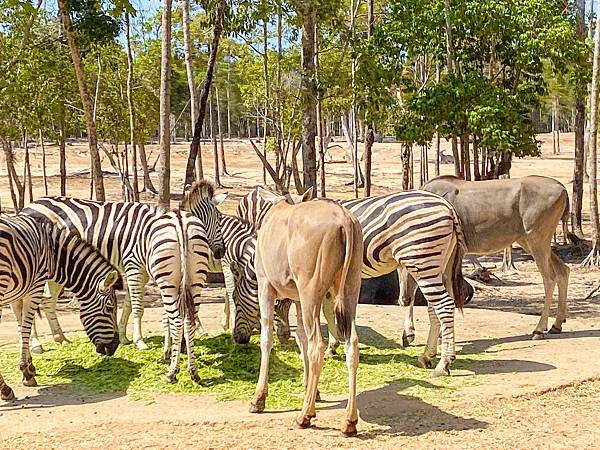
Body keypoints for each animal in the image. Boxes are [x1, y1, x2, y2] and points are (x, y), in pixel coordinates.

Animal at [0, 215, 120, 400]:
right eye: (109, 308)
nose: (115, 346)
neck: (53, 253)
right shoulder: (35, 287)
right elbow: (26, 328)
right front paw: (26, 372)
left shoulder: (19, 293)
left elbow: (21, 329)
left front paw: (30, 367)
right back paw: (5, 389)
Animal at [247, 188, 364, 438]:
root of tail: (344, 220)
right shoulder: (298, 300)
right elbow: (300, 337)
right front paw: (314, 391)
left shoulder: (266, 286)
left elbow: (267, 339)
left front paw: (259, 398)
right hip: (349, 291)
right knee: (351, 345)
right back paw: (349, 421)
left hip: (311, 291)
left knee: (317, 346)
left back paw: (305, 416)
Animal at [400, 174, 568, 342]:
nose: (403, 299)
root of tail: (562, 188)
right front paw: (411, 333)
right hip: (530, 242)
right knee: (563, 270)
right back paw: (556, 325)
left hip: (537, 241)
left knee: (549, 279)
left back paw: (539, 329)